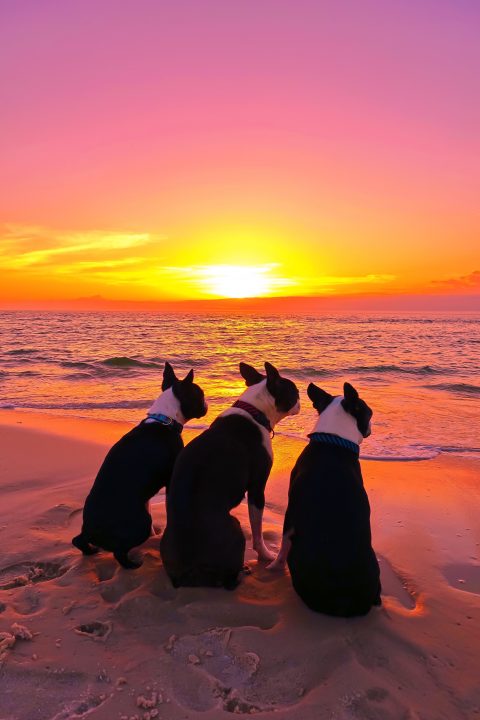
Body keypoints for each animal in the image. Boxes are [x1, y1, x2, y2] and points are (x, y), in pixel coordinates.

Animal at [72, 362, 207, 572]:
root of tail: (94, 530)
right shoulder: (171, 478)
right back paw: (132, 564)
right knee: (119, 552)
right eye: (199, 395)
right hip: (140, 523)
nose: (206, 404)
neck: (165, 420)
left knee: (78, 540)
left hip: (89, 531)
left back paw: (90, 550)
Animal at [161, 362, 300, 588]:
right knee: (229, 581)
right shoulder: (257, 488)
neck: (256, 412)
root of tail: (186, 572)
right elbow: (257, 529)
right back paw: (243, 571)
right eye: (294, 391)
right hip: (234, 525)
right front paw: (265, 554)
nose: (300, 399)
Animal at [268, 380, 380, 616]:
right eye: (369, 413)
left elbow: (283, 542)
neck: (334, 440)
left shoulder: (291, 511)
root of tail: (344, 600)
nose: (371, 427)